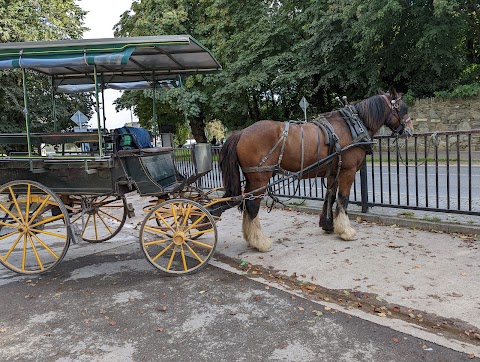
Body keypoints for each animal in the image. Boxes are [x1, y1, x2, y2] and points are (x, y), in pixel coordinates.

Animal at [219, 88, 414, 252]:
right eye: (403, 109)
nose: (410, 130)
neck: (351, 126)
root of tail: (241, 132)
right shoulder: (348, 171)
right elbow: (343, 199)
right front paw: (346, 230)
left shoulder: (334, 172)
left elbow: (330, 196)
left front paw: (328, 224)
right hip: (260, 177)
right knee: (252, 205)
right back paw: (260, 241)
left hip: (252, 179)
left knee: (246, 203)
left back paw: (250, 237)